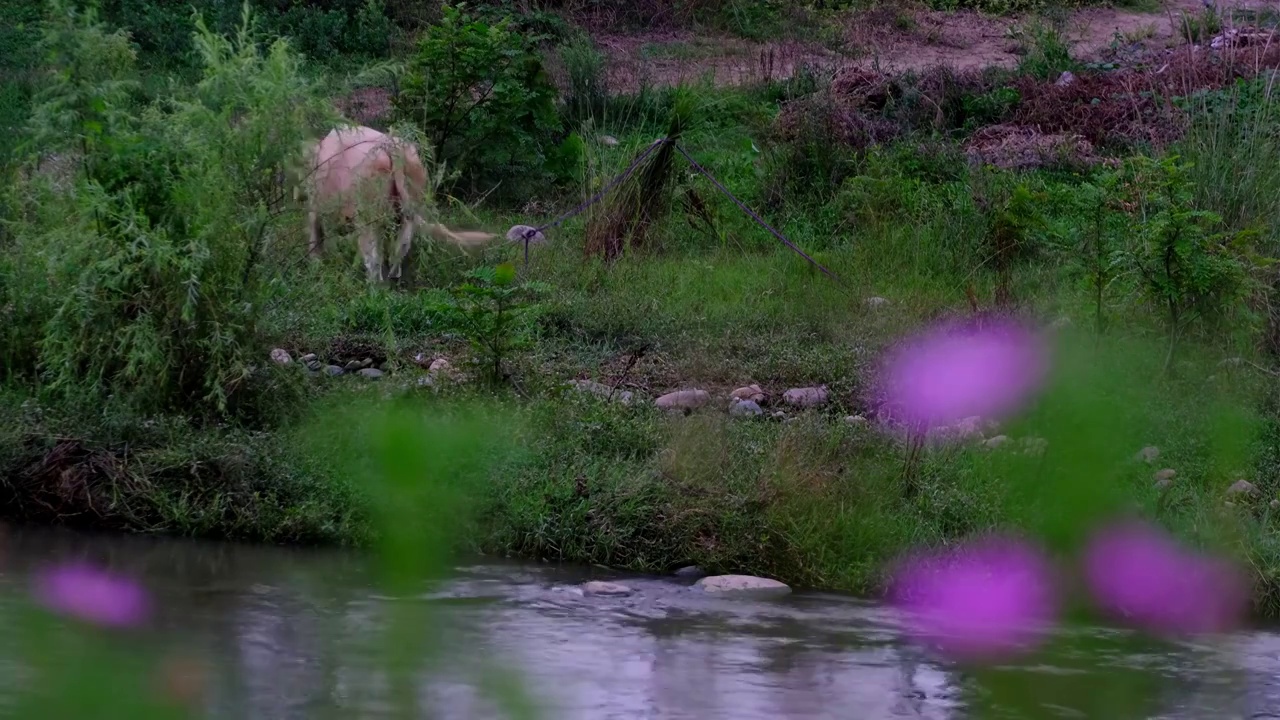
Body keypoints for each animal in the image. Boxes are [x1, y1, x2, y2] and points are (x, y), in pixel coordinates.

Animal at [294, 124, 499, 281]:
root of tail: (392, 146)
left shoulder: (317, 206)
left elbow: (317, 232)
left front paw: (316, 263)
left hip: (368, 214)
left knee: (373, 256)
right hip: (410, 205)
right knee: (401, 245)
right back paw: (394, 277)